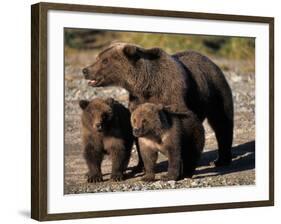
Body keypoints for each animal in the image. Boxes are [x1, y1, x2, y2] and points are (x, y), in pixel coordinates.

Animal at [82, 41, 233, 170]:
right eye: (98, 57)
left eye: (104, 60)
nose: (85, 70)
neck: (147, 85)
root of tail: (210, 60)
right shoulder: (137, 100)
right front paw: (141, 165)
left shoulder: (171, 94)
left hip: (215, 89)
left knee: (222, 122)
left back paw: (221, 160)